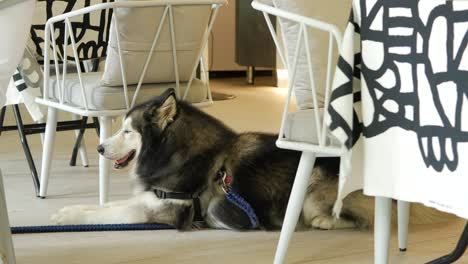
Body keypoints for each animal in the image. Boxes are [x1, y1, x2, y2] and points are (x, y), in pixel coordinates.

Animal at [50, 89, 446, 231]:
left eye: (127, 132)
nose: (100, 149)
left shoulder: (166, 209)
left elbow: (108, 213)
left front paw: (67, 217)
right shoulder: (152, 198)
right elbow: (106, 205)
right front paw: (68, 210)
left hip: (312, 190)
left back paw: (324, 222)